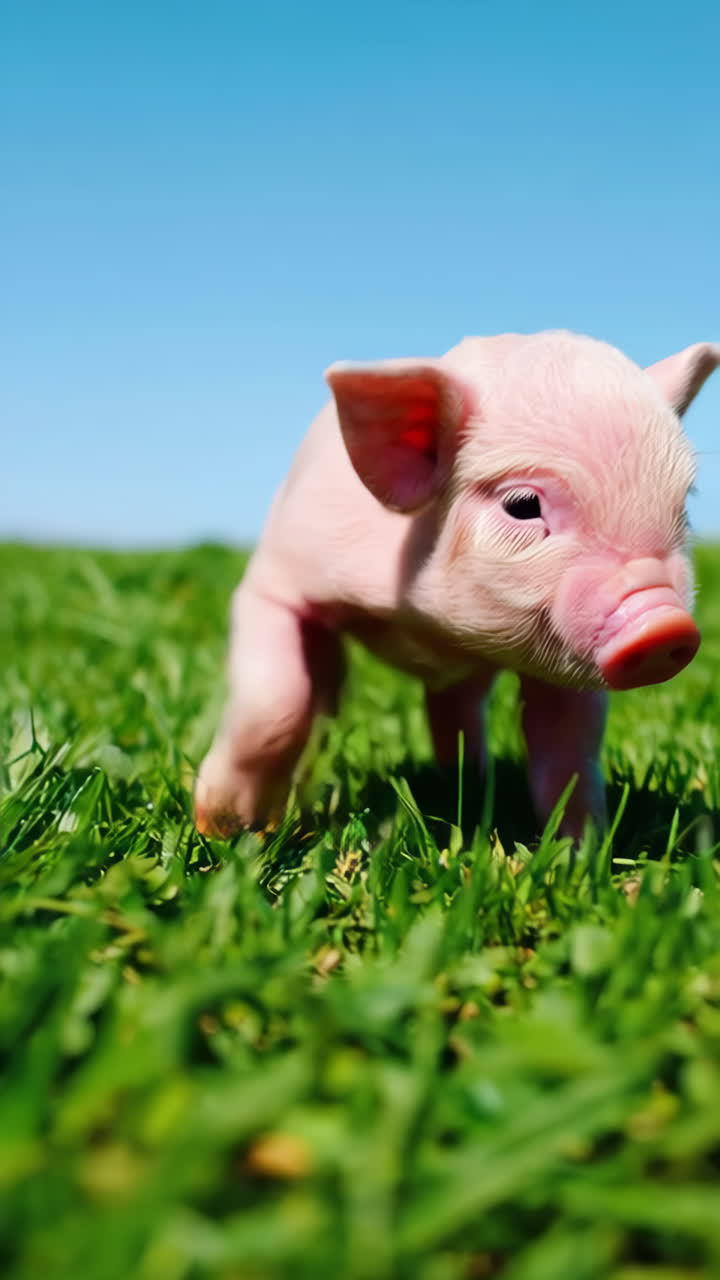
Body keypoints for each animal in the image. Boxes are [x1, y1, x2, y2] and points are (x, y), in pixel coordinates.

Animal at [195, 331, 720, 841]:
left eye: (682, 510)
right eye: (523, 505)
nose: (665, 625)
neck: (430, 624)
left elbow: (570, 748)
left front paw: (579, 853)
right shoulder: (276, 581)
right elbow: (275, 708)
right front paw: (228, 831)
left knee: (458, 707)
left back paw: (467, 783)